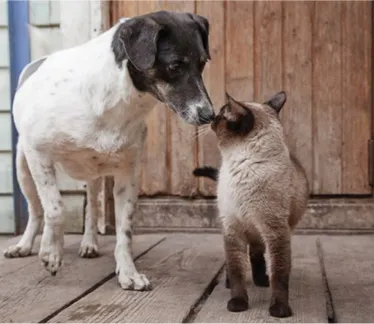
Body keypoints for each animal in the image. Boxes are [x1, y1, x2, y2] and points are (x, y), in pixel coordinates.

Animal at [3, 10, 213, 292]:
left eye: (202, 64)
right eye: (174, 66)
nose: (209, 115)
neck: (115, 102)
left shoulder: (127, 174)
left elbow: (124, 232)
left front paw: (128, 273)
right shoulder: (39, 155)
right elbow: (55, 208)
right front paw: (51, 253)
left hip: (93, 176)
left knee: (91, 207)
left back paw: (89, 243)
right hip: (23, 167)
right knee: (37, 210)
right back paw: (25, 245)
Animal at [191, 90, 308, 316]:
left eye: (221, 116)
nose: (211, 118)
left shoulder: (275, 231)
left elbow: (279, 274)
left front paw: (279, 309)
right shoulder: (232, 229)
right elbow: (236, 269)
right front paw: (237, 303)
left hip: (259, 232)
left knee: (256, 255)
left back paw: (262, 280)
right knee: (235, 262)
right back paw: (231, 283)